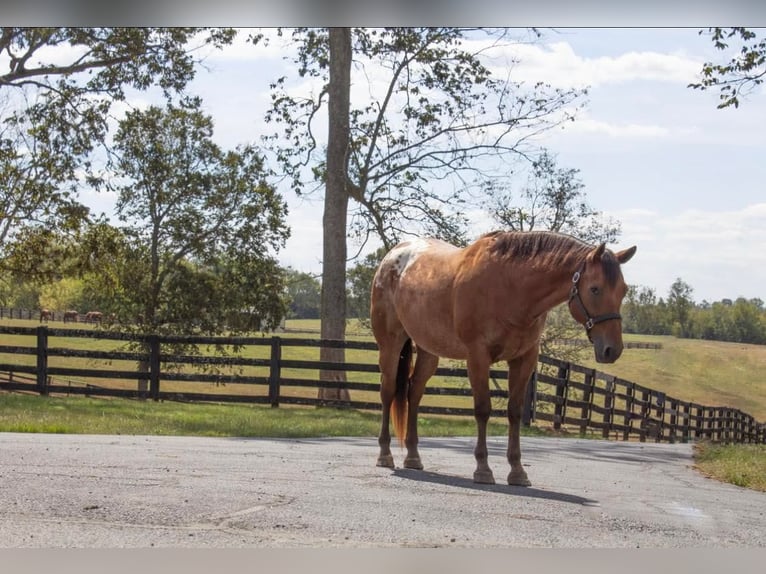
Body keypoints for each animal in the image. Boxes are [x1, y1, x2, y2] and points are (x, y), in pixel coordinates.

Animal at [370, 230, 636, 486]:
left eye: (623, 290)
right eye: (595, 288)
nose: (612, 349)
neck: (511, 287)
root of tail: (392, 256)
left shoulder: (524, 359)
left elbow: (514, 412)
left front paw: (517, 472)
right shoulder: (478, 357)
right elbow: (483, 409)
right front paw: (483, 469)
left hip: (428, 350)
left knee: (414, 394)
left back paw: (413, 457)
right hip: (390, 345)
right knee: (388, 392)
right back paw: (385, 455)